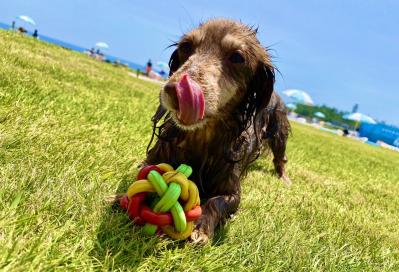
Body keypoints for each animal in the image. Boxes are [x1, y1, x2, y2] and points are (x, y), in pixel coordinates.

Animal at [145, 19, 290, 243]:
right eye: (185, 46)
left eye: (237, 57)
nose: (174, 90)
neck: (202, 135)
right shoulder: (155, 158)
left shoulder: (232, 191)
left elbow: (218, 201)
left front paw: (201, 227)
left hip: (279, 133)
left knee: (280, 158)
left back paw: (284, 178)